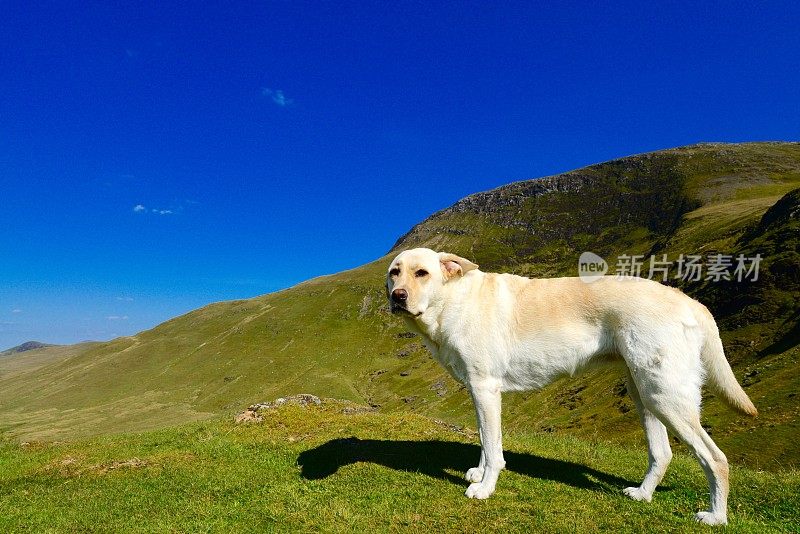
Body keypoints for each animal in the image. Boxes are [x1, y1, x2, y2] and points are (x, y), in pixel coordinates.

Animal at [388, 249, 756, 524]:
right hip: (644, 393)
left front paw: (485, 487)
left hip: (665, 397)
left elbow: (492, 448)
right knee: (662, 453)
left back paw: (716, 517)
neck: (452, 301)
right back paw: (643, 494)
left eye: (422, 273)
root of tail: (691, 302)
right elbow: (484, 439)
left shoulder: (484, 387)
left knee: (716, 458)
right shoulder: (480, 392)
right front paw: (479, 473)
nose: (397, 296)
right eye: (394, 272)